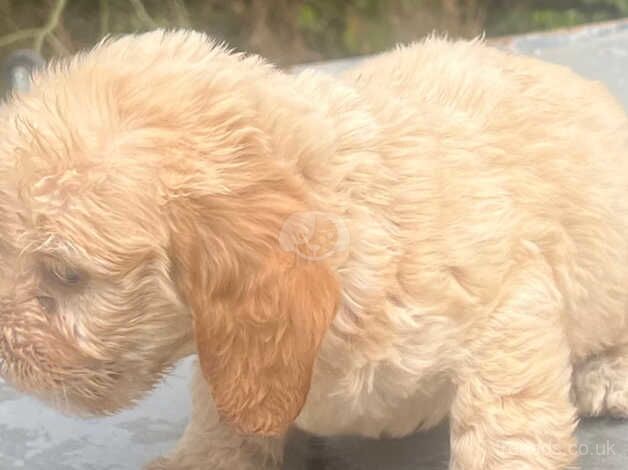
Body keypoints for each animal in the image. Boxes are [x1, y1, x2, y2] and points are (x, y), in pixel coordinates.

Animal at [1, 30, 628, 470]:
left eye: (65, 273)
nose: (4, 355)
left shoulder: (505, 303)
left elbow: (506, 429)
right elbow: (222, 412)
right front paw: (203, 458)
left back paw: (607, 374)